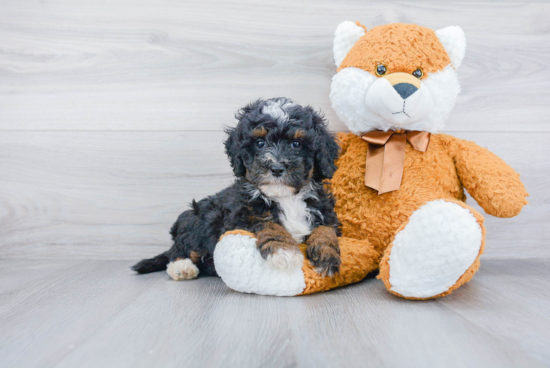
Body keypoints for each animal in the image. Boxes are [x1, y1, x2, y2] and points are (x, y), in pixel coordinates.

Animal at [132, 96, 342, 280]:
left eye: (296, 144)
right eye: (259, 143)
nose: (276, 168)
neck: (285, 198)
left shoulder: (325, 212)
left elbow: (325, 230)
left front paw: (327, 256)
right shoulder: (240, 216)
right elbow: (267, 223)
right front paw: (283, 250)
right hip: (199, 217)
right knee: (180, 249)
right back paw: (181, 267)